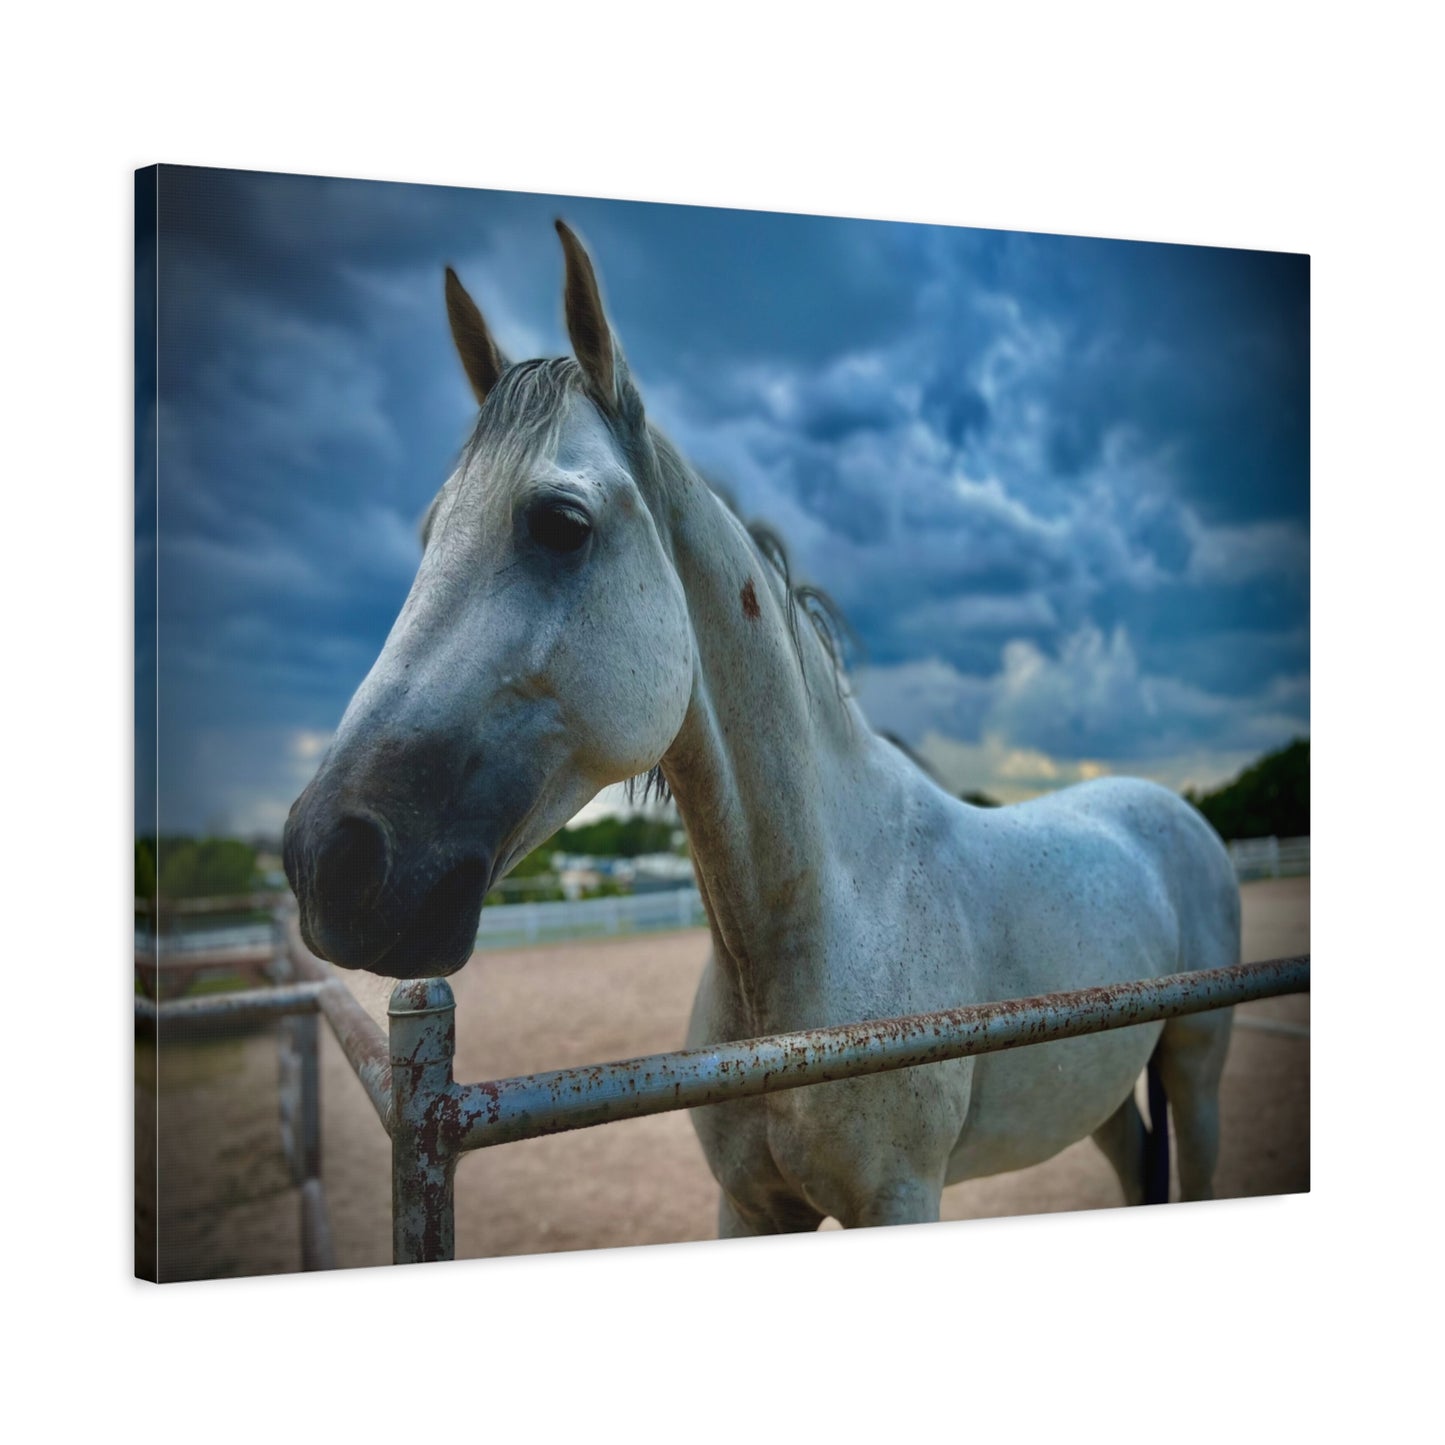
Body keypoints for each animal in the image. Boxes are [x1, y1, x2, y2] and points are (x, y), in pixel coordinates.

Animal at [284, 220, 1240, 1233]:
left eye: (560, 523)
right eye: (429, 533)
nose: (325, 858)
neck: (826, 916)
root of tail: (1171, 812)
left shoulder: (901, 1198)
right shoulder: (747, 1203)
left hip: (1195, 1063)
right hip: (1099, 1092)